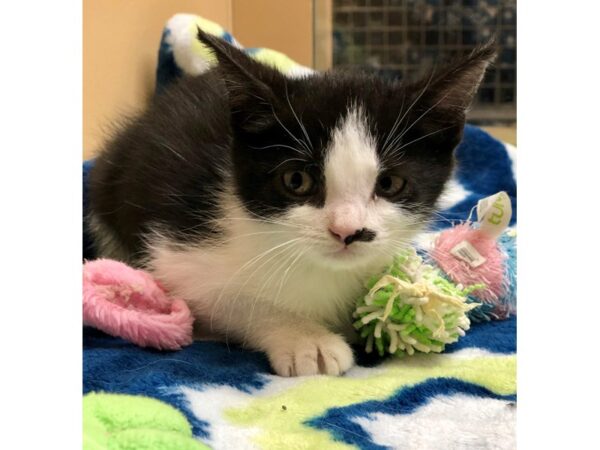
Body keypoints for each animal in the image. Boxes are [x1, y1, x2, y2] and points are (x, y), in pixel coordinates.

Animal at [88, 30, 492, 376]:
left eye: (390, 183)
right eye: (296, 181)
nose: (348, 232)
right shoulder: (177, 252)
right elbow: (229, 299)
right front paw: (306, 338)